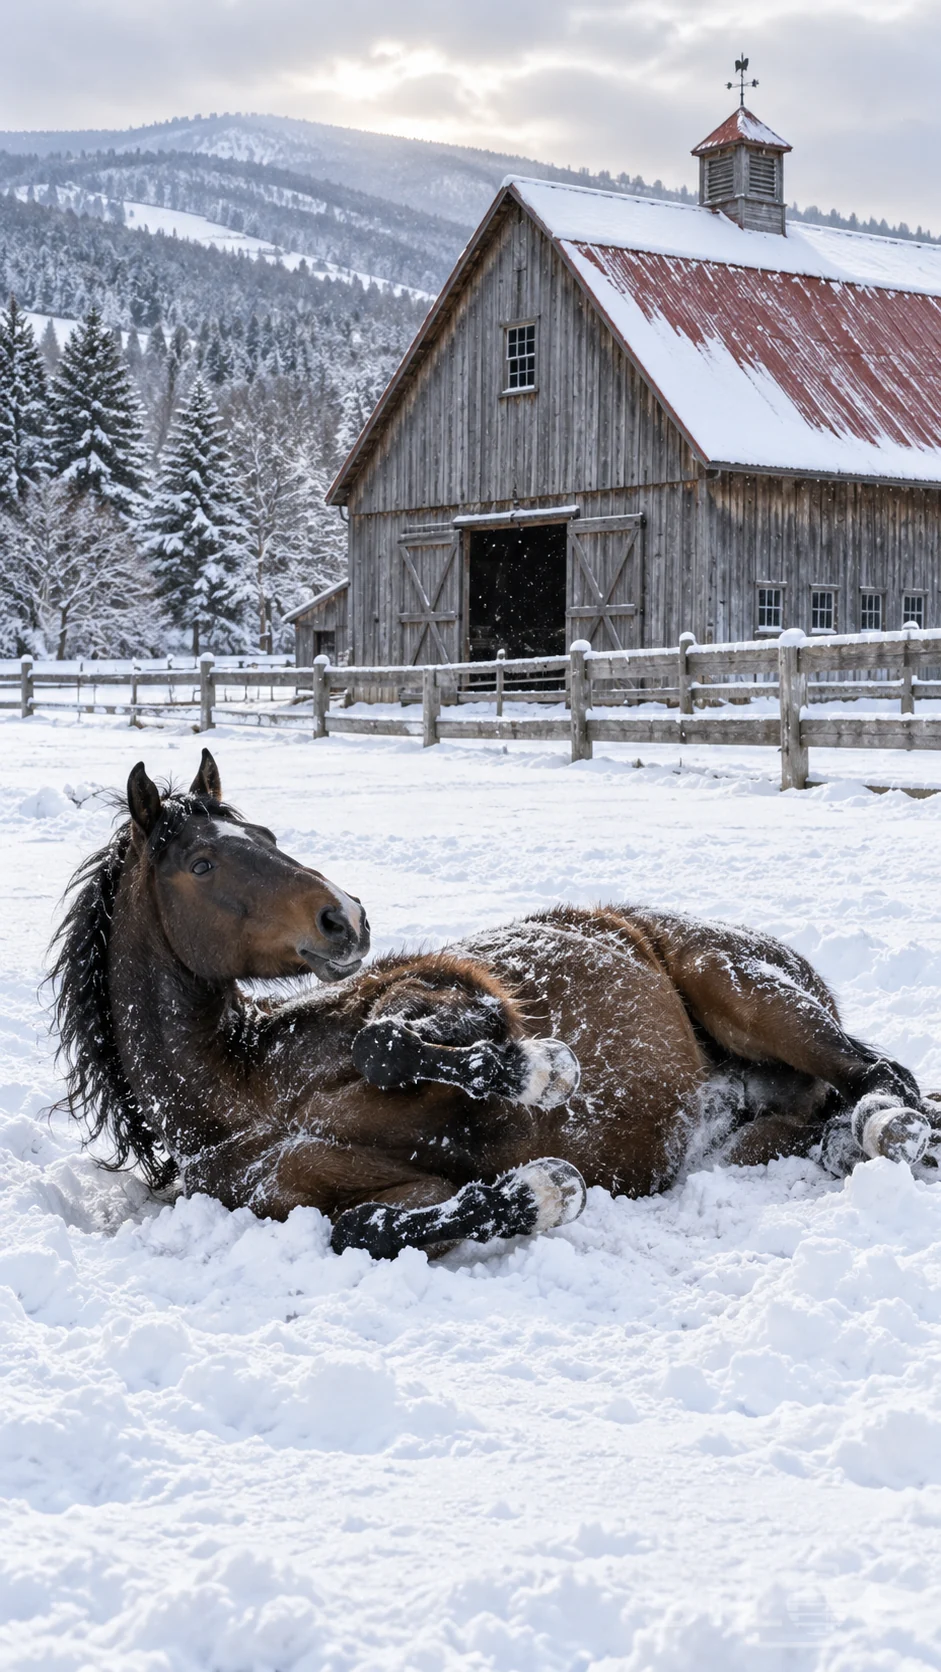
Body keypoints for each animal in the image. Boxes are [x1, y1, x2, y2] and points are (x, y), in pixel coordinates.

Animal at [51, 749, 934, 1260]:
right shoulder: (344, 1195)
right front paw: (543, 1189)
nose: (345, 917)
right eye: (201, 863)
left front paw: (544, 1071)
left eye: (265, 834)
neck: (251, 1089)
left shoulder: (453, 991)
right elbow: (361, 1230)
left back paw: (896, 1132)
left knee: (881, 1075)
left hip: (748, 994)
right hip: (751, 1127)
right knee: (836, 1110)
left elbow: (385, 1042)